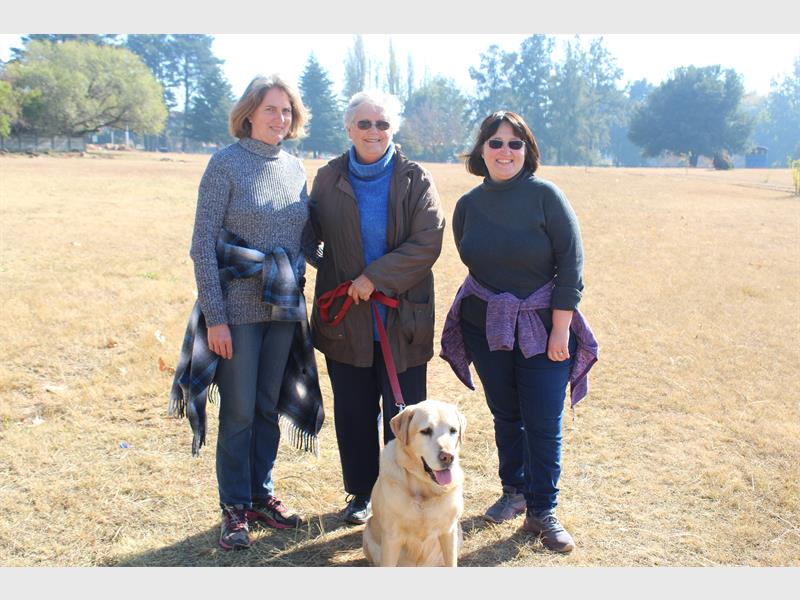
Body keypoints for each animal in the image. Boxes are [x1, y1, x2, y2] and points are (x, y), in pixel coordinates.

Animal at [362, 399, 466, 567]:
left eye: (453, 430)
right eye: (426, 431)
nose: (448, 457)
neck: (424, 487)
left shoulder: (449, 531)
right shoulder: (392, 538)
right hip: (368, 534)